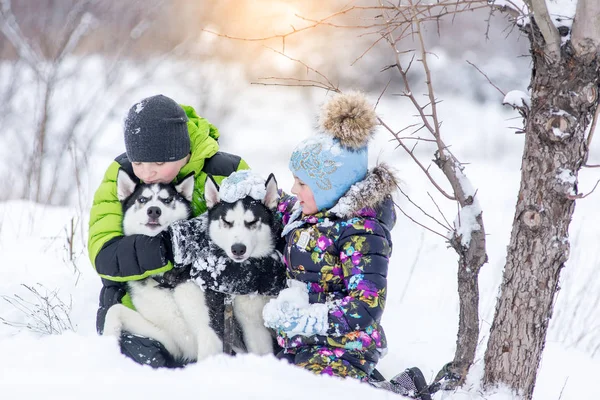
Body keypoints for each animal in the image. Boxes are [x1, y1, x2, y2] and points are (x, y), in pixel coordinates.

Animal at [103, 170, 223, 364]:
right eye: (142, 199)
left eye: (167, 200)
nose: (154, 210)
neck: (166, 281)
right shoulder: (171, 339)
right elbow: (114, 310)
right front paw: (107, 343)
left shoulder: (210, 331)